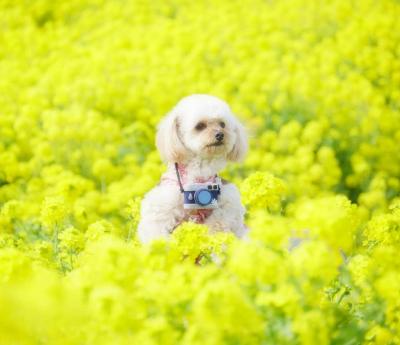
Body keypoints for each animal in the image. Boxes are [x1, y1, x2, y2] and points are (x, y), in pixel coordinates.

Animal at [139, 93, 248, 242]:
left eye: (222, 124)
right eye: (200, 126)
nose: (220, 134)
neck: (200, 169)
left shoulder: (228, 202)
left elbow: (219, 221)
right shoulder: (161, 207)